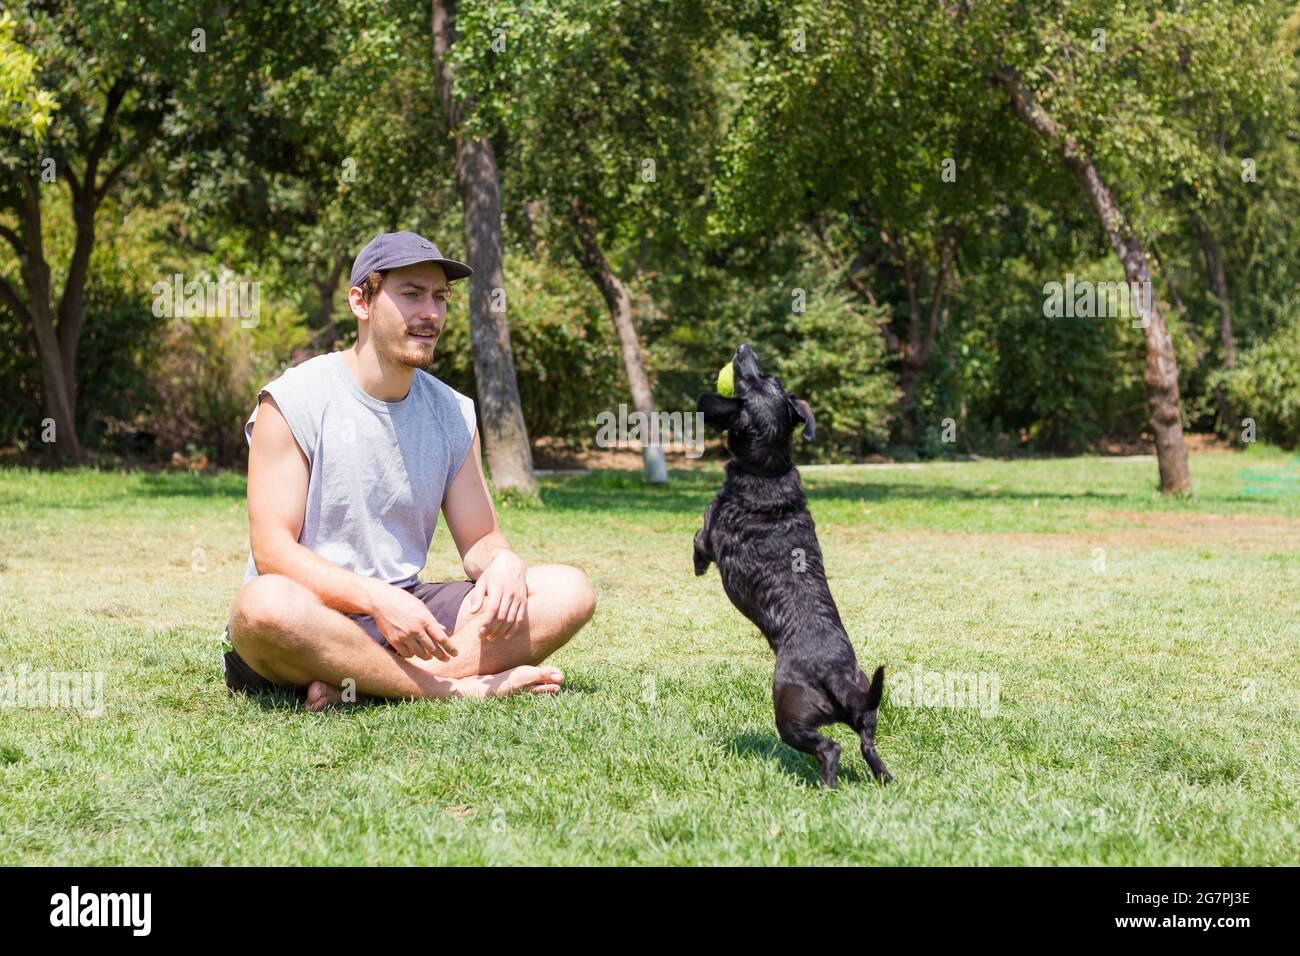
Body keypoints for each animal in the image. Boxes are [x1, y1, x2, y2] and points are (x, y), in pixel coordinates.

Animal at [691, 340, 894, 790]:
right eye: (772, 378)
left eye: (750, 380)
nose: (744, 346)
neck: (769, 467)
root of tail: (836, 677)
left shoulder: (711, 531)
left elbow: (698, 539)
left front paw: (696, 565)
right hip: (866, 716)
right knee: (867, 747)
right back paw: (884, 778)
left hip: (790, 713)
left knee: (830, 749)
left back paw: (826, 786)